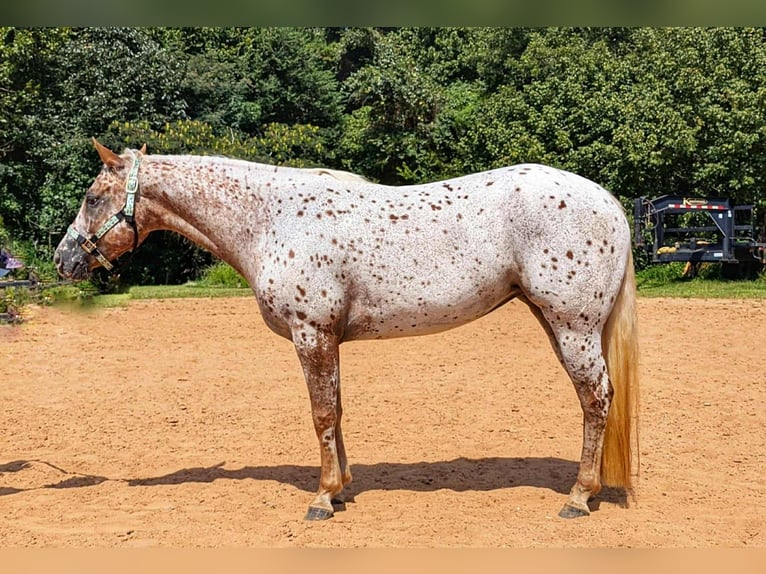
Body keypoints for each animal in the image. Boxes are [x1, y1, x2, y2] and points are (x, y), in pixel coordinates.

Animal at [54, 139, 639, 521]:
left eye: (91, 197)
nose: (63, 260)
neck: (269, 219)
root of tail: (607, 200)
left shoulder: (311, 334)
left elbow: (320, 414)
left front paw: (321, 499)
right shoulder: (328, 340)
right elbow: (335, 411)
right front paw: (339, 489)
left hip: (573, 326)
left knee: (595, 399)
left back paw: (579, 497)